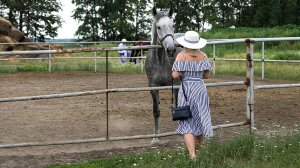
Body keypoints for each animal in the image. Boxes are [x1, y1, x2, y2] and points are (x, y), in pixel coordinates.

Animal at [145, 6, 183, 144]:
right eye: (159, 27)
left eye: (172, 25)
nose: (171, 49)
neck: (161, 60)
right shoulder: (153, 87)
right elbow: (156, 111)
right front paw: (155, 138)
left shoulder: (176, 85)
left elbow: (178, 106)